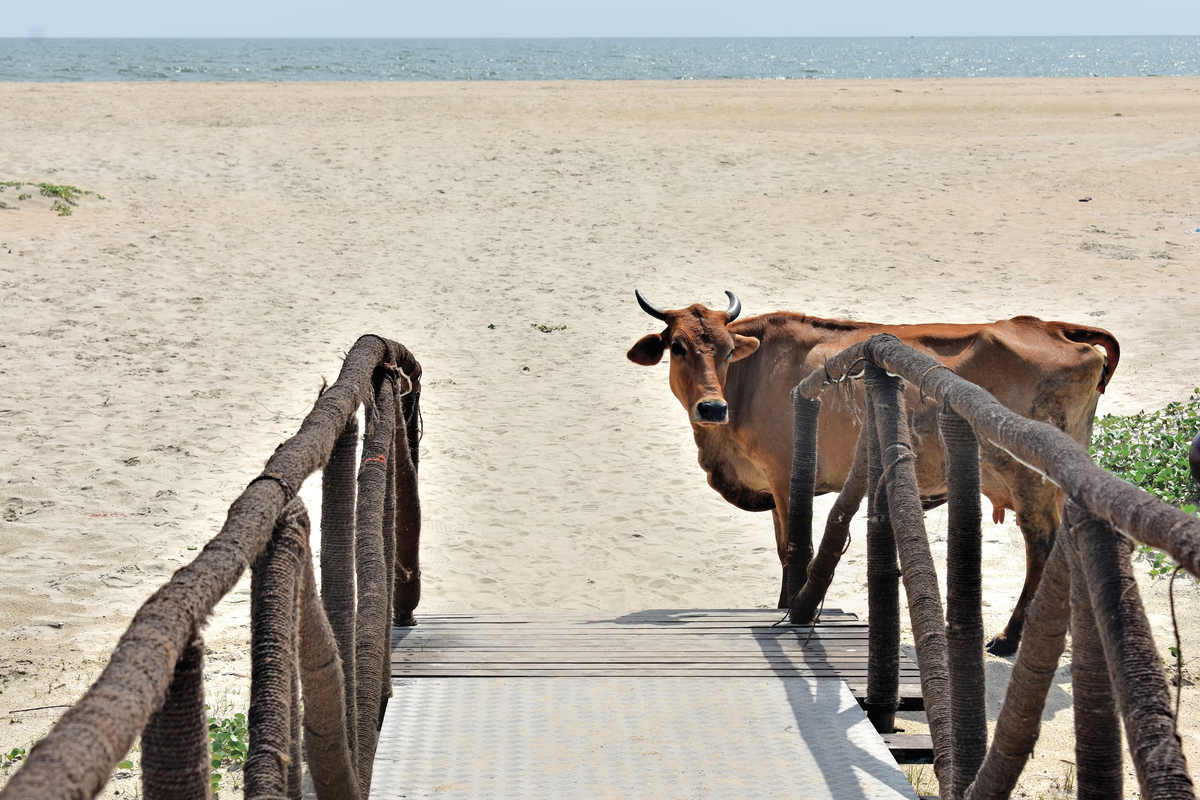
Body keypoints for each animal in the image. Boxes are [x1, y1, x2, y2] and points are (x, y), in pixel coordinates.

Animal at [624, 291, 1118, 652]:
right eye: (677, 347)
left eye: (728, 351)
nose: (712, 407)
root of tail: (1047, 326)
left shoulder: (786, 477)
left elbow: (793, 549)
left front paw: (788, 607)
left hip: (1029, 479)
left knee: (1041, 546)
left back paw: (1010, 637)